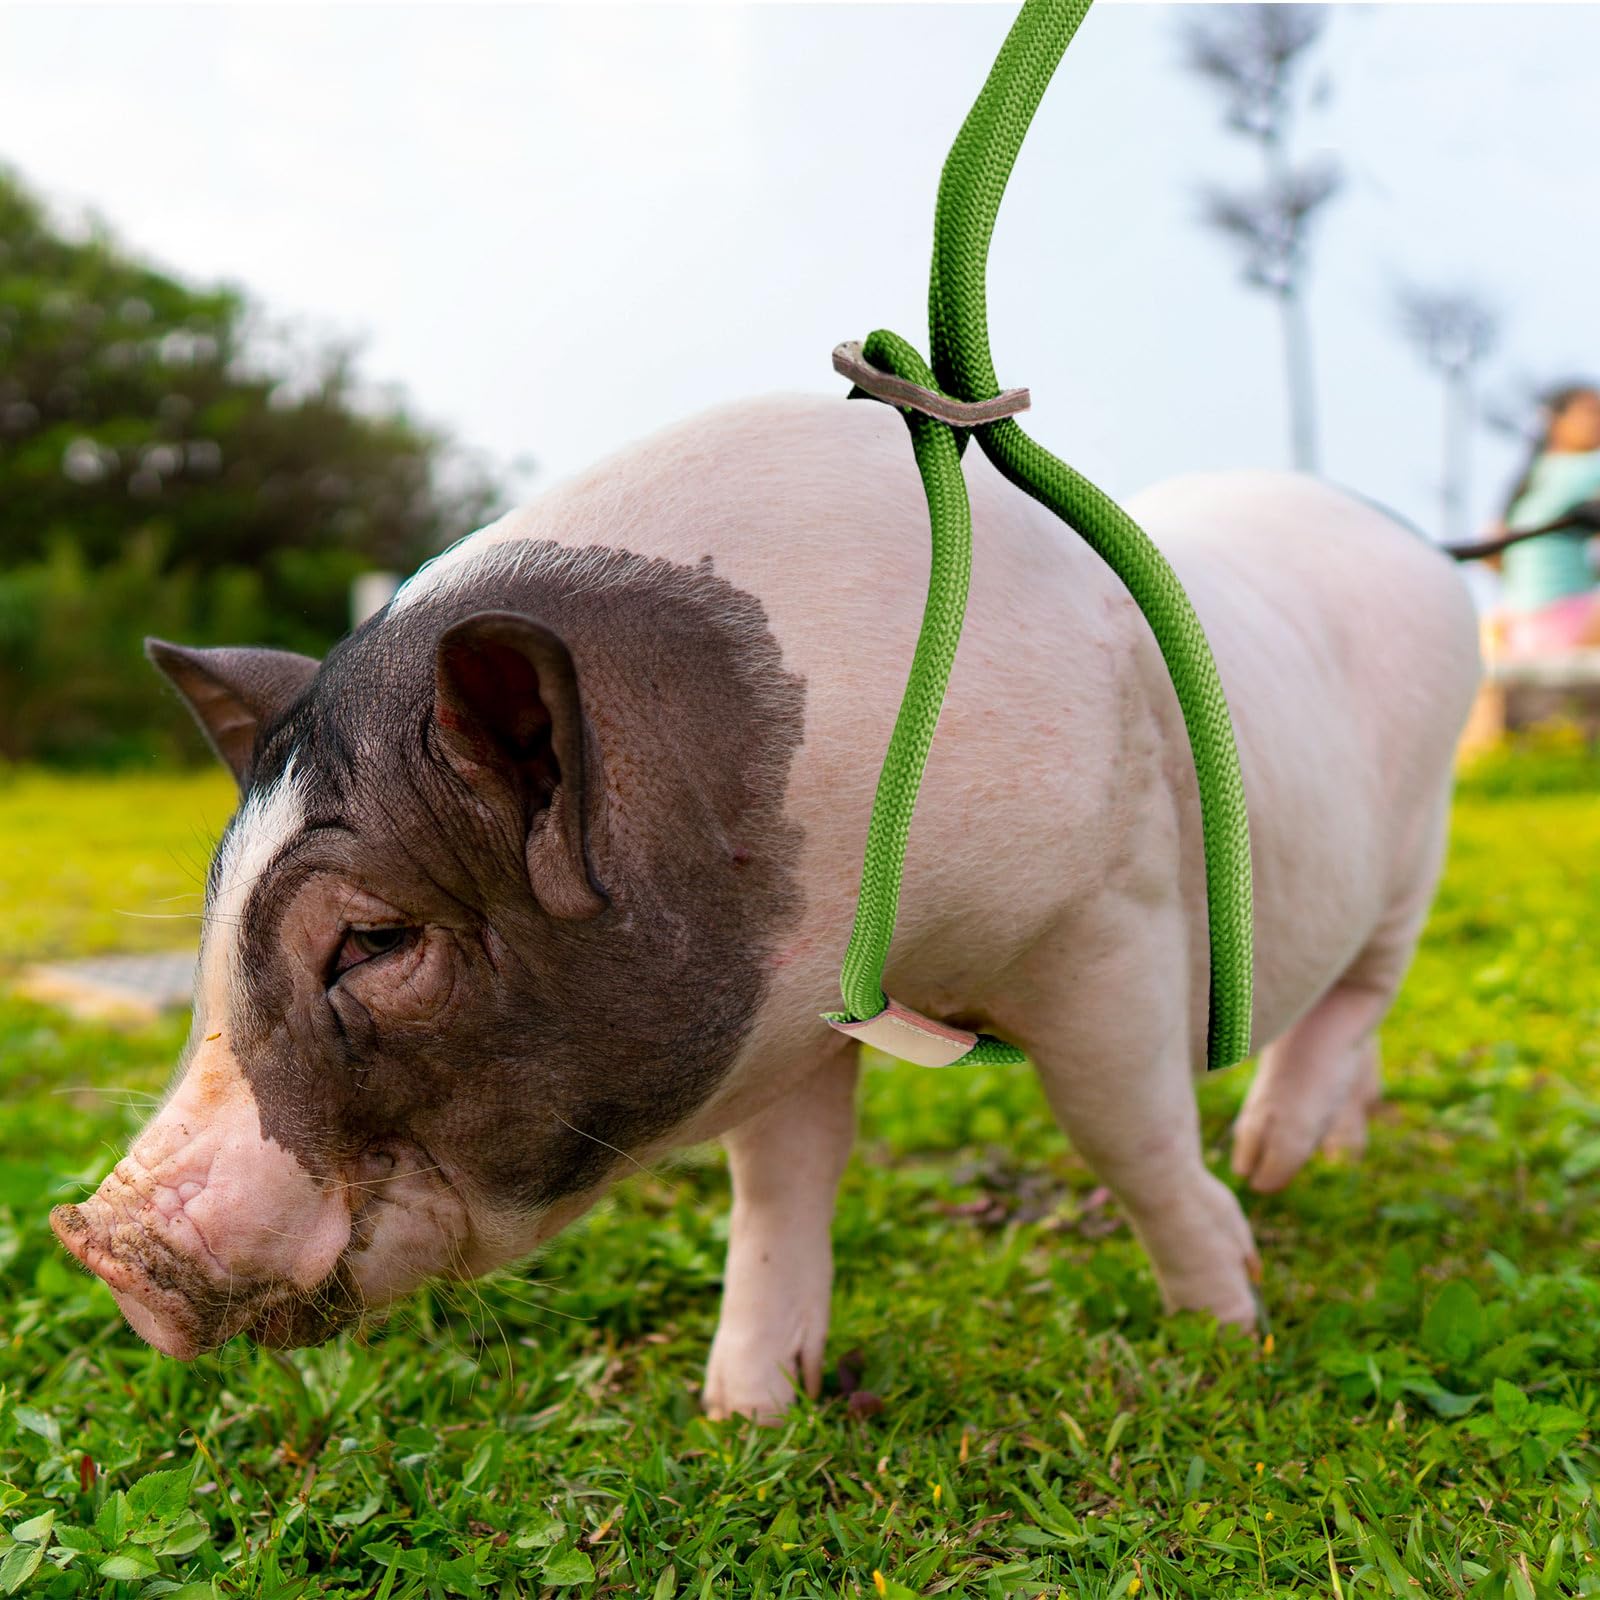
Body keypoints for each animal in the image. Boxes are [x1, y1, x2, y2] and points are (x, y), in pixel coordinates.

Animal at [51, 393, 1481, 1420]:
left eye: (375, 940)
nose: (98, 1241)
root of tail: (1420, 543)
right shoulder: (791, 1004)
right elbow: (782, 1185)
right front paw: (746, 1413)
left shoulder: (1104, 917)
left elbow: (1124, 1133)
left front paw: (1229, 1321)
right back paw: (1323, 1158)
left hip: (1421, 835)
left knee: (1362, 989)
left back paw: (1273, 1159)